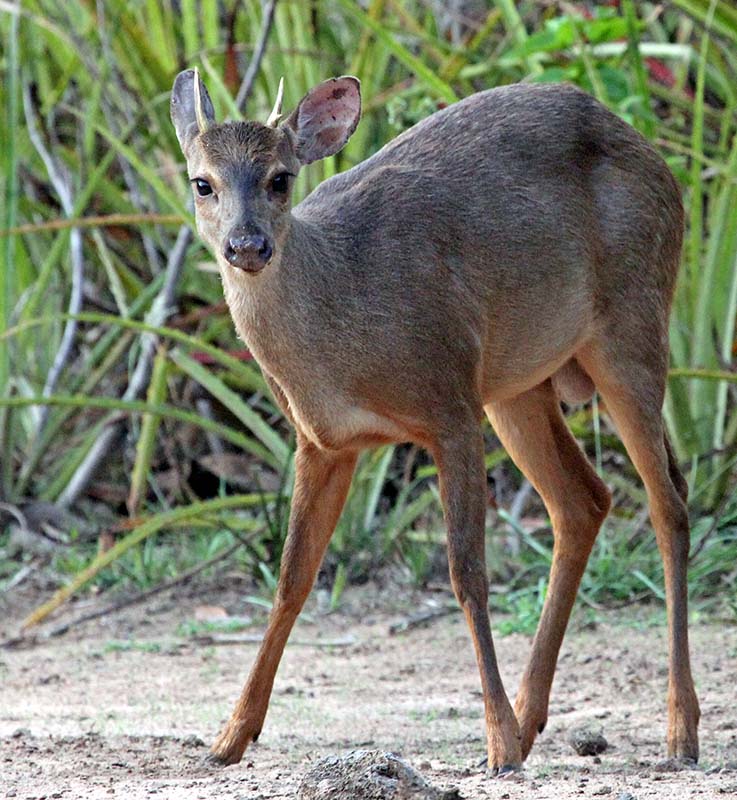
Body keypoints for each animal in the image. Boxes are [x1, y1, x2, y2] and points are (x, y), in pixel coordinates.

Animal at [170, 70, 700, 776]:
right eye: (203, 182)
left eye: (280, 178)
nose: (247, 245)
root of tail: (653, 155)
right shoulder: (322, 442)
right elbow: (290, 580)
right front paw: (229, 736)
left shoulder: (449, 406)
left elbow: (467, 573)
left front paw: (498, 746)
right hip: (518, 383)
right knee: (584, 500)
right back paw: (533, 717)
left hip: (632, 324)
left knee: (669, 505)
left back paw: (678, 731)